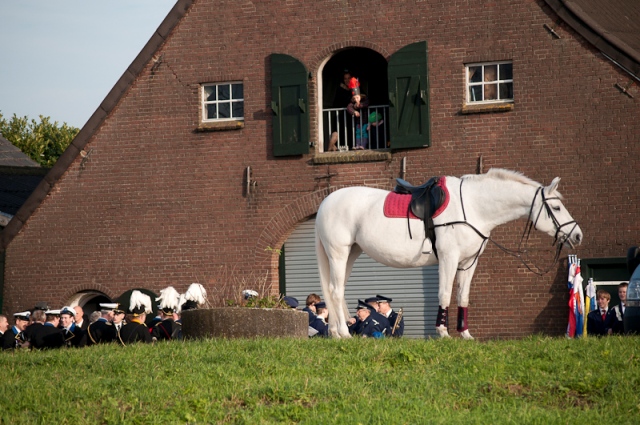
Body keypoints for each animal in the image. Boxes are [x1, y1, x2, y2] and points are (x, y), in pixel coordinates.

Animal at [316, 168, 584, 338]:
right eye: (556, 207)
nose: (577, 235)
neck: (474, 206)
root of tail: (325, 204)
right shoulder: (449, 258)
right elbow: (444, 293)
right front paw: (443, 332)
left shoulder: (469, 262)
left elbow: (462, 297)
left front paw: (465, 334)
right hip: (339, 253)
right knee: (336, 291)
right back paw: (344, 333)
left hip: (351, 253)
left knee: (335, 291)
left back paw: (336, 333)